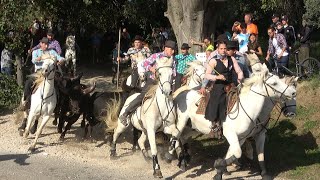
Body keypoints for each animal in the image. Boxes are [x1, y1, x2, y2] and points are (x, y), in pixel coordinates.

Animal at [168, 63, 298, 179]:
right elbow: (237, 153)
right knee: (175, 135)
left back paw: (183, 160)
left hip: (193, 127)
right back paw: (170, 157)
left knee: (183, 138)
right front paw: (220, 167)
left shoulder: (246, 136)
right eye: (274, 83)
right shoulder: (231, 134)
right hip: (182, 122)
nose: (293, 93)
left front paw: (221, 170)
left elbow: (241, 154)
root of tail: (183, 93)